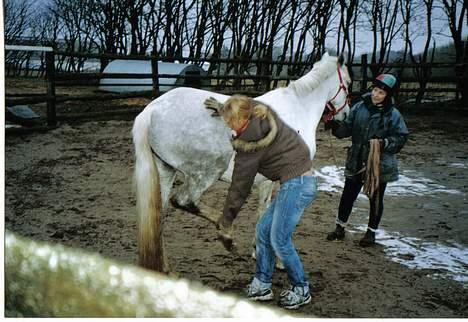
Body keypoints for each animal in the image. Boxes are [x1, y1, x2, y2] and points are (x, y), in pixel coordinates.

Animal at [133, 52, 352, 272]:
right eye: (349, 83)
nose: (346, 115)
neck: (299, 108)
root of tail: (152, 109)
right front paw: (277, 260)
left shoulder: (266, 180)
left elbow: (263, 212)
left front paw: (258, 251)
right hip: (207, 172)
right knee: (185, 200)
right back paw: (226, 234)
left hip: (165, 171)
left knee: (158, 216)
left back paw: (164, 268)